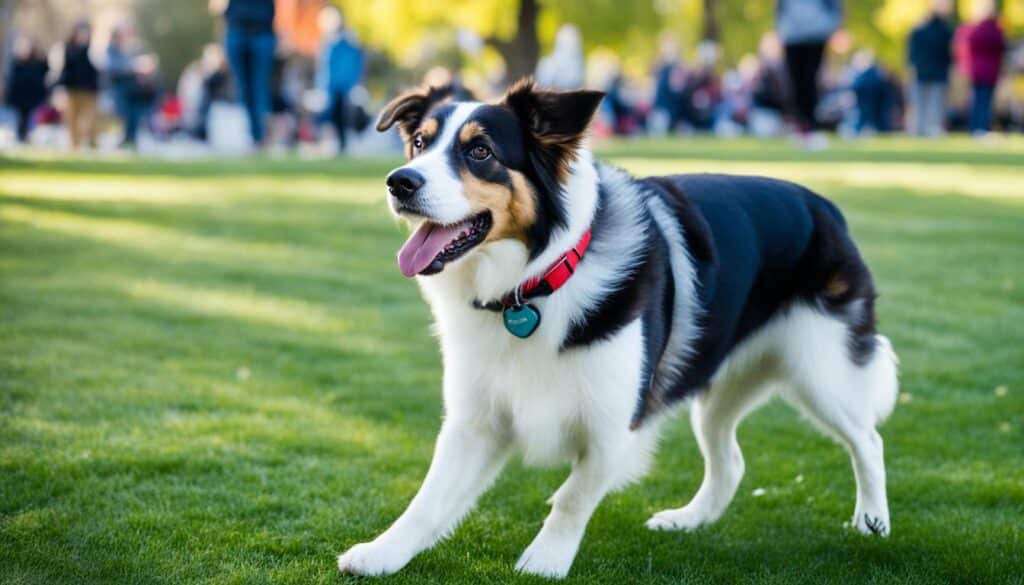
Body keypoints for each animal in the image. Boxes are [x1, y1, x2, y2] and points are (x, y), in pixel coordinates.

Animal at [339, 79, 901, 577]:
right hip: (722, 389)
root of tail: (825, 206)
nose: (400, 181)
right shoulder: (476, 418)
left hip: (822, 370)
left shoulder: (615, 420)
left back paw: (872, 521)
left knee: (868, 440)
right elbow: (429, 497)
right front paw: (382, 553)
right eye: (419, 143)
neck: (534, 282)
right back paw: (689, 520)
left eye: (480, 151)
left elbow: (573, 496)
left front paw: (544, 563)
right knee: (732, 460)